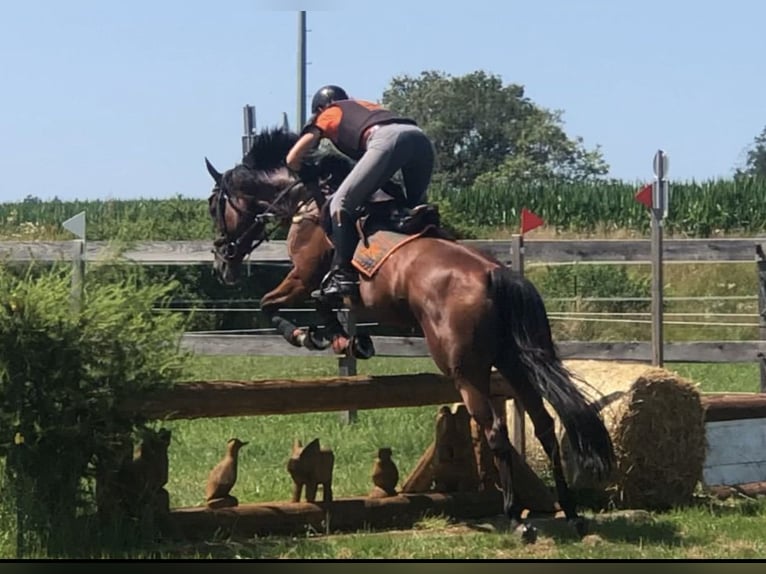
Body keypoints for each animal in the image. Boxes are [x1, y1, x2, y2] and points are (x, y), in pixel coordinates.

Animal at [206, 127, 616, 544]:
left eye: (212, 207)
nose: (222, 262)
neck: (307, 196)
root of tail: (494, 273)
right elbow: (322, 309)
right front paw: (348, 340)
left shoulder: (304, 277)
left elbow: (276, 304)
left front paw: (310, 336)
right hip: (513, 361)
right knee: (545, 424)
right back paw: (571, 513)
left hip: (466, 370)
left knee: (496, 430)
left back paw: (517, 516)